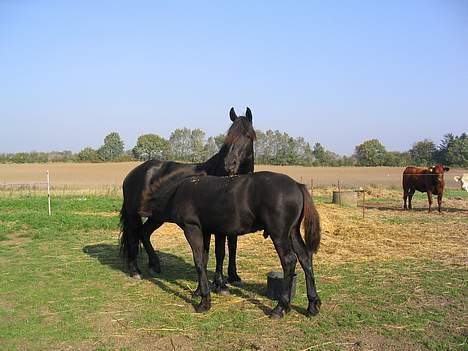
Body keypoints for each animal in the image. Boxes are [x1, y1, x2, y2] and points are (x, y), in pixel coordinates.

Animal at [119, 108, 254, 288]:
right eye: (229, 135)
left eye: (248, 135)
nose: (230, 164)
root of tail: (132, 174)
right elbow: (219, 251)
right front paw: (220, 284)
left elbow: (232, 247)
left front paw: (233, 277)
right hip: (134, 214)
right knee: (133, 237)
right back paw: (135, 271)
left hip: (156, 217)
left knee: (144, 233)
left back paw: (155, 265)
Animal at [149, 172, 322, 320]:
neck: (177, 192)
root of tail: (297, 185)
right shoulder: (206, 230)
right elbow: (204, 260)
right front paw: (199, 291)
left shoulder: (192, 228)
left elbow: (198, 262)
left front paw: (205, 301)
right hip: (292, 232)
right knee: (305, 258)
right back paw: (312, 305)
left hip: (280, 235)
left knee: (289, 260)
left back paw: (280, 307)